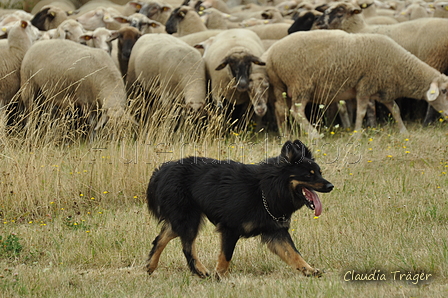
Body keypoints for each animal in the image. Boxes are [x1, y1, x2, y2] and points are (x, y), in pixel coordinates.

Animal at [146, 139, 332, 278]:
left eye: (319, 172)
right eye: (309, 175)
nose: (331, 186)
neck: (265, 189)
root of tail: (162, 170)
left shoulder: (276, 233)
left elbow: (294, 254)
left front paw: (310, 270)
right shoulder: (230, 229)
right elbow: (226, 256)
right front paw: (220, 276)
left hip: (184, 220)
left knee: (161, 238)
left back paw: (150, 266)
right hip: (189, 220)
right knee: (187, 247)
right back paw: (201, 271)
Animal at [264, 30, 448, 137]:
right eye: (445, 91)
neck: (398, 66)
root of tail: (270, 54)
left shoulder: (383, 90)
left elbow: (395, 109)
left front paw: (404, 132)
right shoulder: (365, 86)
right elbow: (361, 112)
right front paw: (357, 134)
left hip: (280, 86)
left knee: (281, 110)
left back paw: (285, 136)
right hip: (301, 84)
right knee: (297, 111)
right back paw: (315, 135)